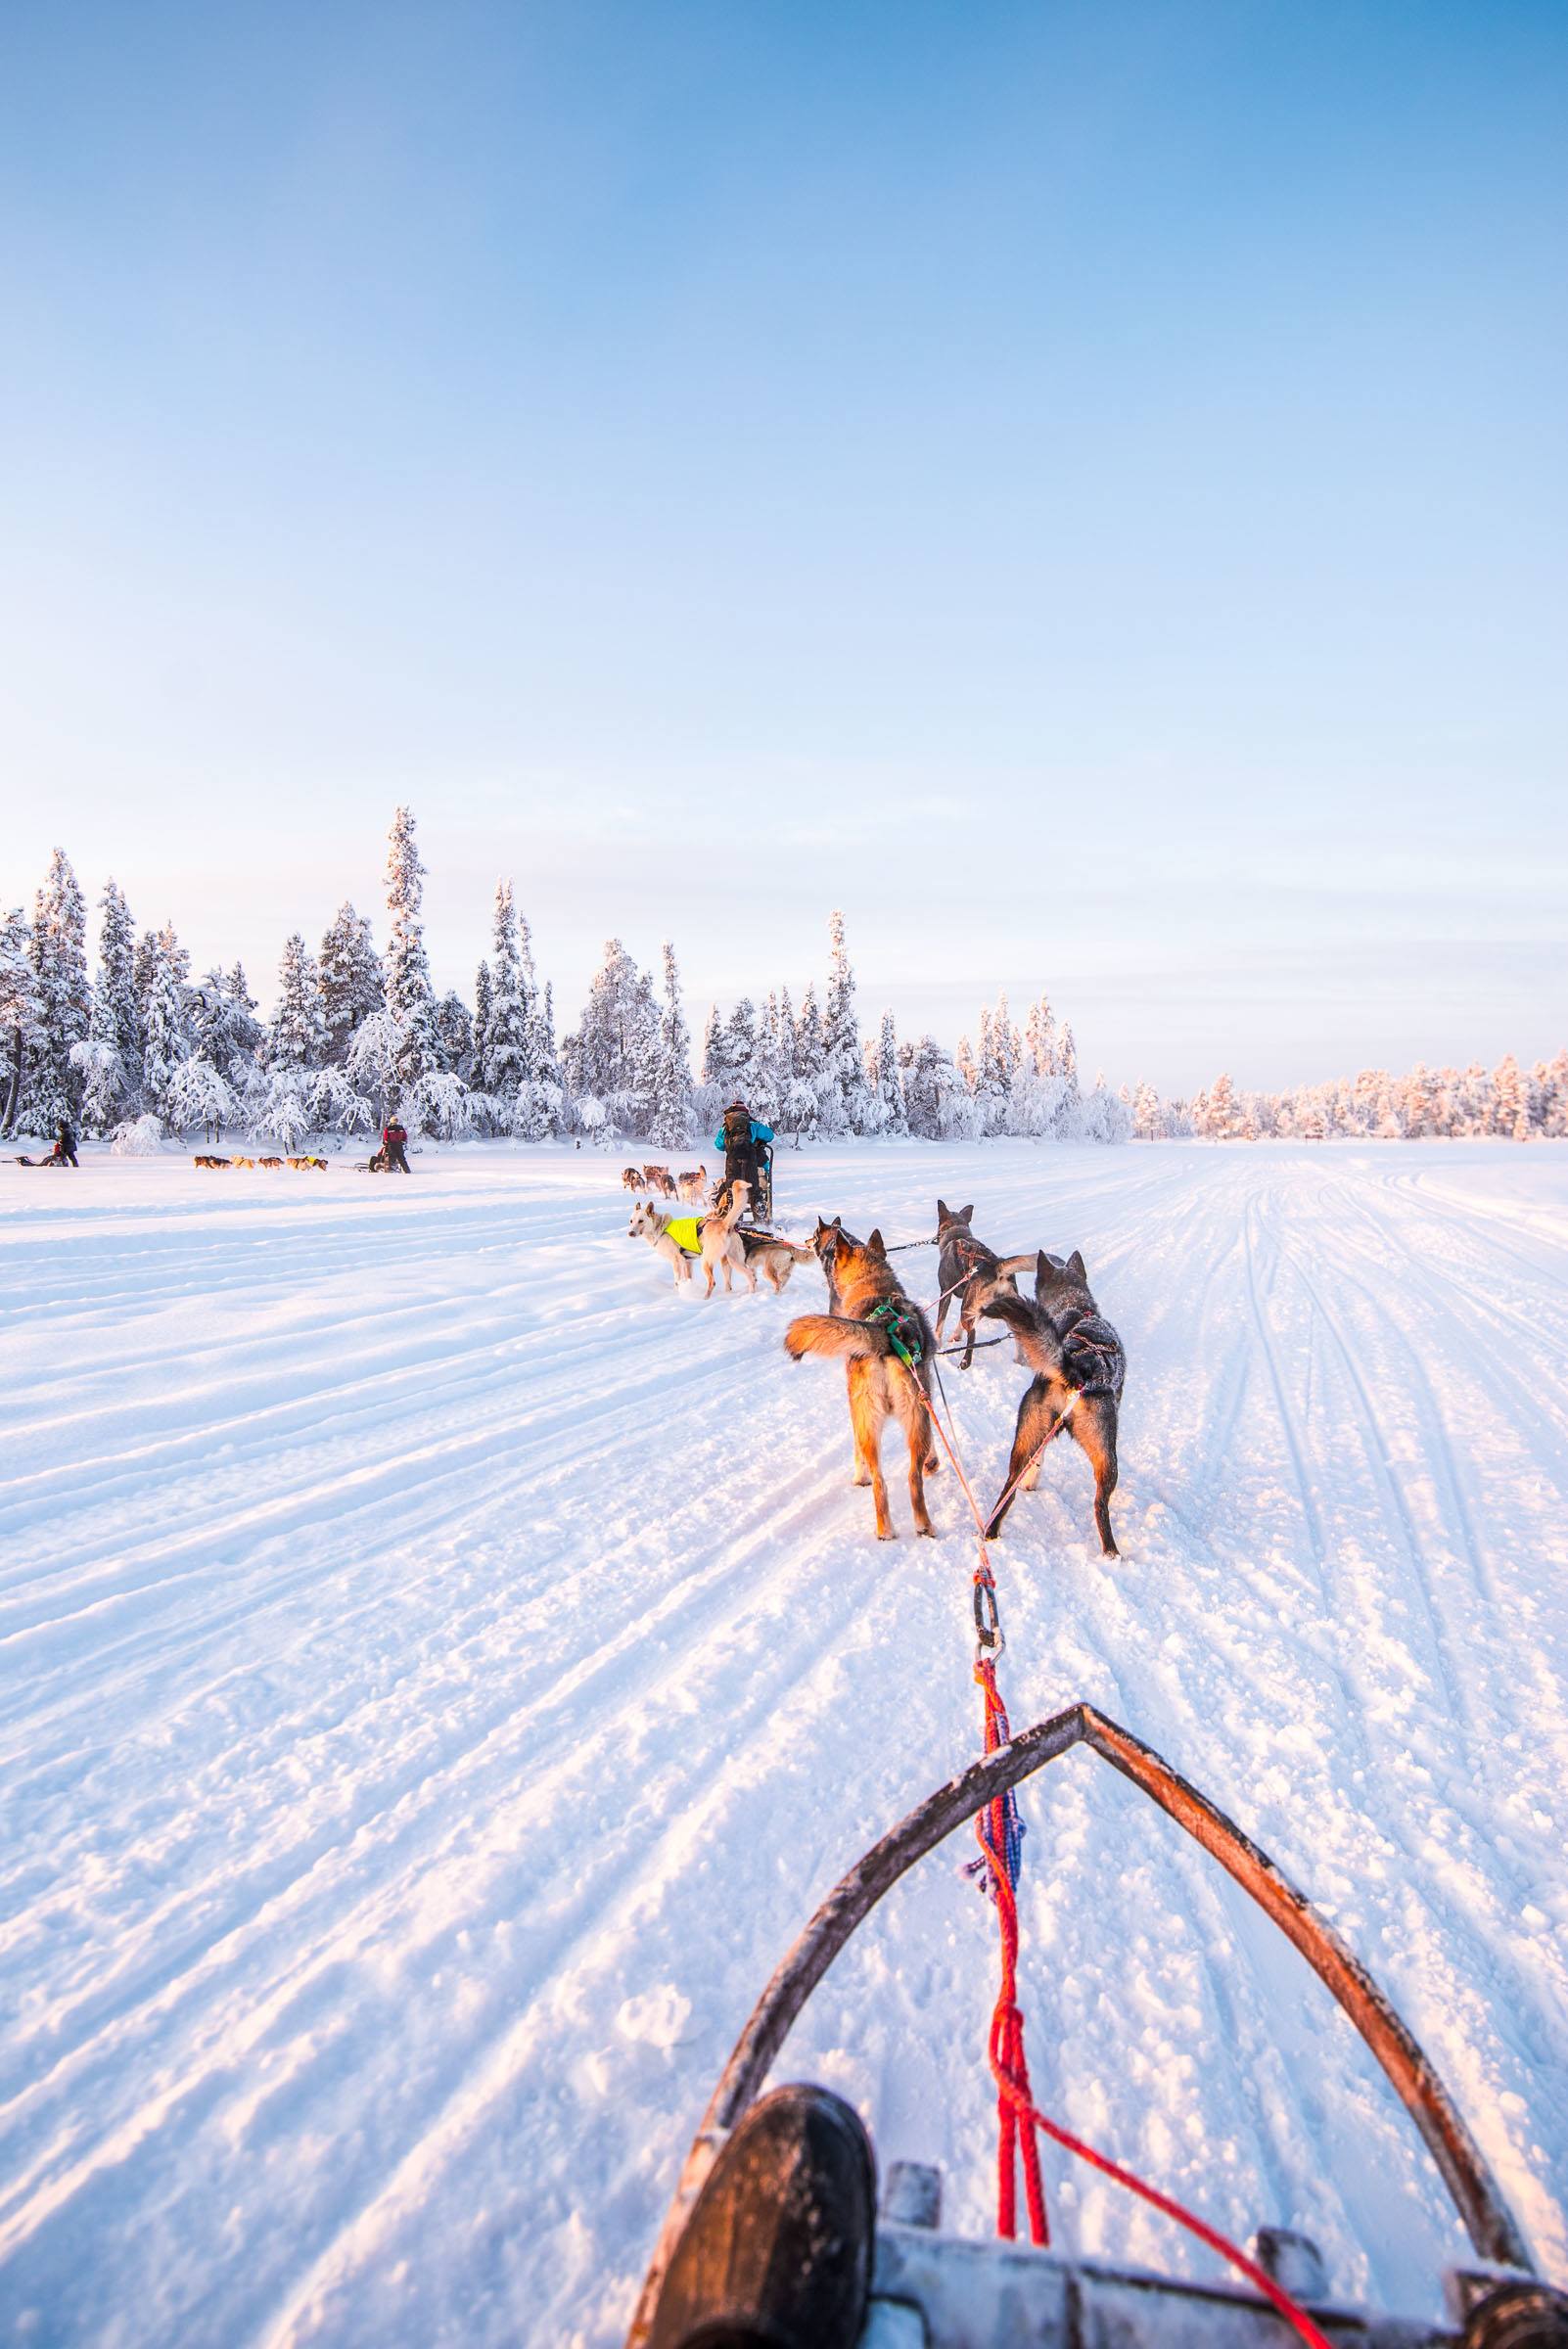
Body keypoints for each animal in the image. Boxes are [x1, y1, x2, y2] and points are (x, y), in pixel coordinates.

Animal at [779, 1230, 929, 1541]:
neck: (875, 1290)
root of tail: (884, 1333)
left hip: (870, 1420)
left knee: (883, 1478)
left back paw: (886, 1528)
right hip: (913, 1417)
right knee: (911, 1475)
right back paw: (921, 1525)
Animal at [929, 1202, 1041, 1371]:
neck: (956, 1234)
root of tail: (996, 1266)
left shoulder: (946, 1292)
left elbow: (939, 1324)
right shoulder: (972, 1304)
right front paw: (956, 1336)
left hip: (969, 1308)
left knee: (972, 1335)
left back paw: (965, 1363)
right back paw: (1019, 1360)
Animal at [981, 1249, 1127, 1559]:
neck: (1077, 1308)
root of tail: (1080, 1367)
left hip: (1026, 1436)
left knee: (1009, 1486)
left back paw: (991, 1531)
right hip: (1107, 1454)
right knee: (1100, 1506)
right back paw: (1112, 1554)